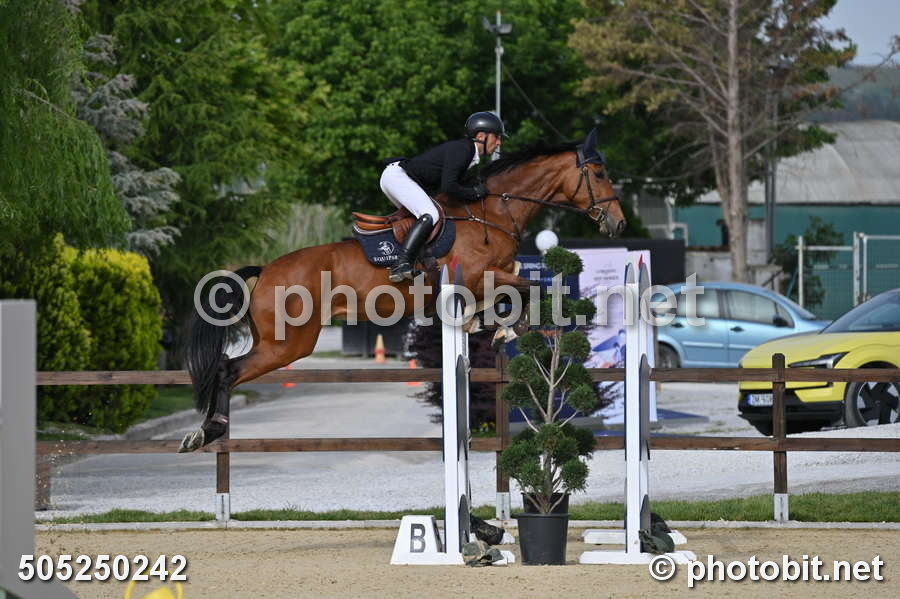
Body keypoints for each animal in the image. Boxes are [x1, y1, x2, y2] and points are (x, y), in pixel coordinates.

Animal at [179, 129, 626, 452]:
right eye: (600, 175)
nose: (618, 224)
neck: (493, 212)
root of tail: (266, 270)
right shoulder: (477, 276)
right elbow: (529, 287)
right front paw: (506, 328)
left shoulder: (485, 281)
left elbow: (513, 290)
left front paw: (487, 325)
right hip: (288, 343)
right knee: (228, 369)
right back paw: (208, 431)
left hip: (278, 341)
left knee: (227, 368)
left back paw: (206, 431)